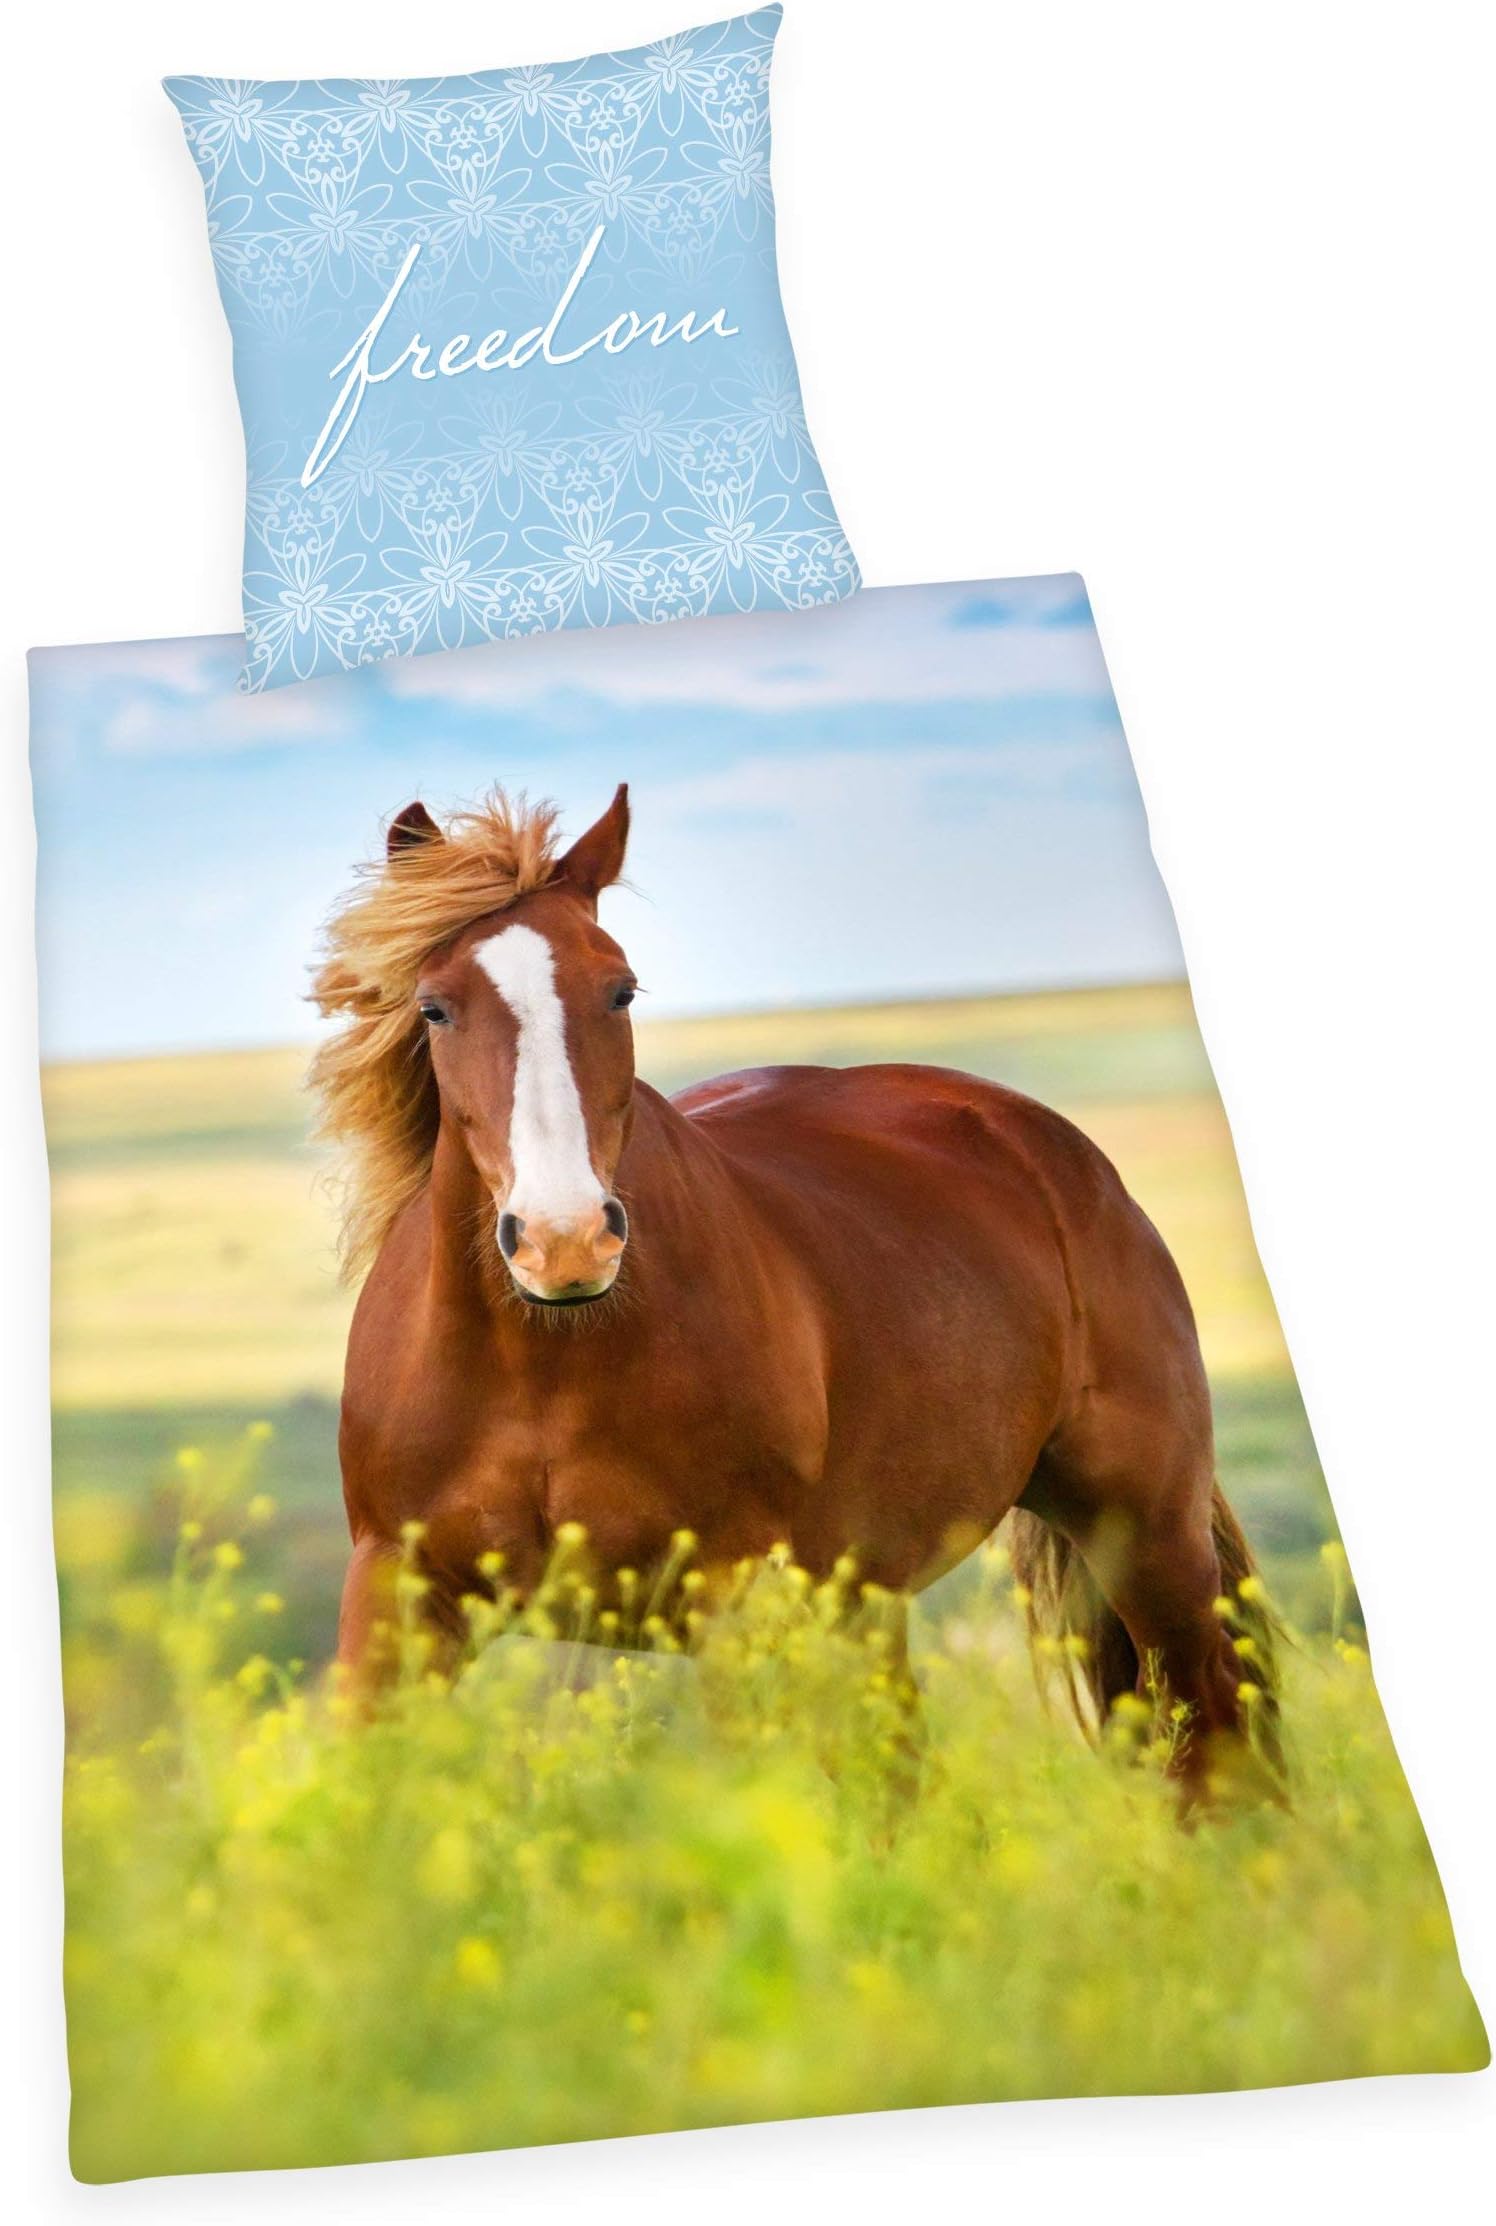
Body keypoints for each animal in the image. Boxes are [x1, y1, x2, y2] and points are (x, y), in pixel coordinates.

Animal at [311, 783, 1278, 1787]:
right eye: (434, 1008)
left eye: (620, 990)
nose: (564, 1241)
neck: (544, 1363)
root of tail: (1045, 1144)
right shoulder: (398, 1594)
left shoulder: (732, 1601)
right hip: (872, 1595)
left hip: (1148, 1536)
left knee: (1212, 1733)